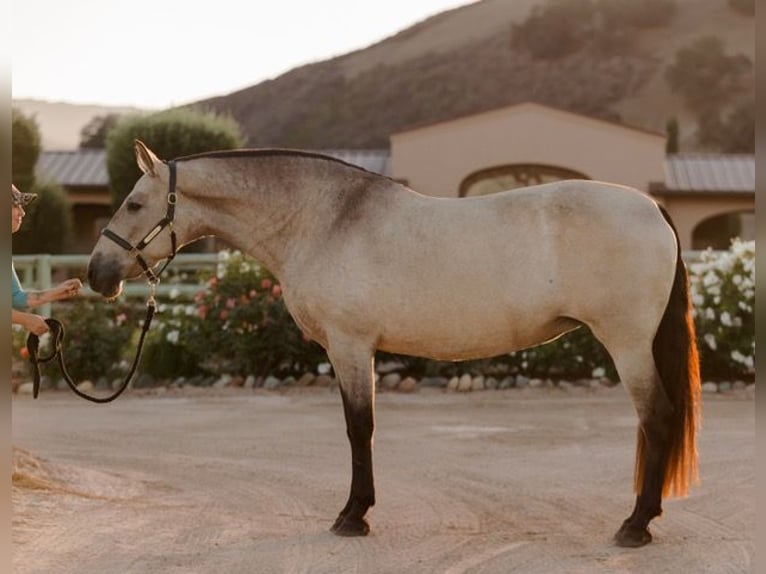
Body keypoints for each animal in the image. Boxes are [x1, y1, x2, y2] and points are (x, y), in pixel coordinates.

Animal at [85, 140, 704, 548]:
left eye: (134, 204)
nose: (97, 274)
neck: (326, 220)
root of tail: (651, 207)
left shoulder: (350, 346)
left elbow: (359, 428)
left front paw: (353, 516)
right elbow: (363, 428)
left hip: (628, 344)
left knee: (658, 417)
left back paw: (635, 526)